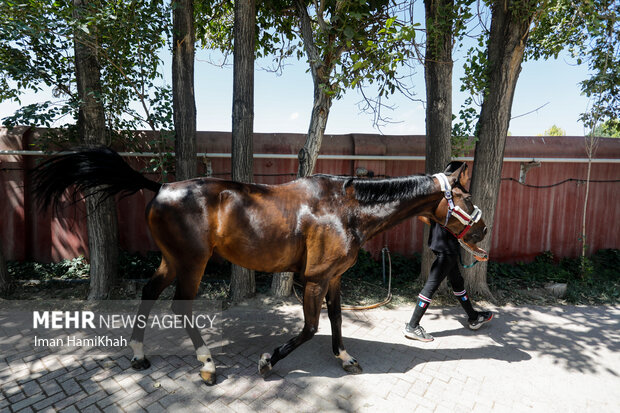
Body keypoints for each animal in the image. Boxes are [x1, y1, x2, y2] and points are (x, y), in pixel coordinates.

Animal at [32, 145, 490, 384]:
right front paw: (268, 361)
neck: (345, 209)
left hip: (172, 260)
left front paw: (344, 357)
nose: (483, 231)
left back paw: (140, 356)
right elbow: (310, 328)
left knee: (148, 292)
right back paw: (206, 365)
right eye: (466, 198)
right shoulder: (313, 281)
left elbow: (337, 320)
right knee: (180, 307)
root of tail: (161, 186)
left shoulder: (333, 279)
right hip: (192, 263)